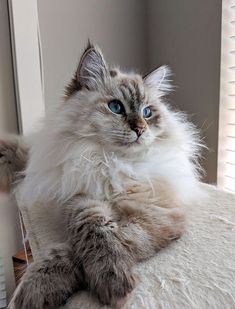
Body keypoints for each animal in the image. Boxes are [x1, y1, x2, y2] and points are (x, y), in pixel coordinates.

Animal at [0, 42, 203, 306]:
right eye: (116, 107)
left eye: (147, 113)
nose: (140, 129)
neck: (108, 162)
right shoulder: (81, 198)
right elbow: (93, 230)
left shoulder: (152, 212)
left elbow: (97, 244)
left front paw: (111, 283)